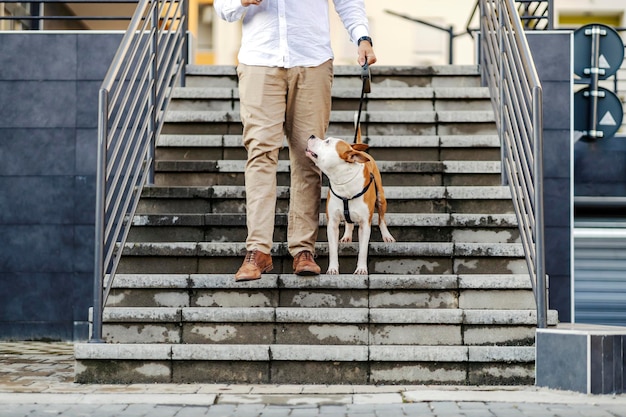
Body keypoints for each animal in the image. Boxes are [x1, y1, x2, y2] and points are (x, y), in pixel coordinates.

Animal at [304, 128, 394, 274]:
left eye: (327, 142)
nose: (311, 135)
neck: (343, 180)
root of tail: (358, 150)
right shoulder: (332, 224)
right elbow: (333, 250)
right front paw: (333, 269)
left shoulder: (365, 225)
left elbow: (363, 250)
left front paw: (361, 269)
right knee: (349, 222)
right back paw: (347, 236)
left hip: (381, 198)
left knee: (382, 219)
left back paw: (387, 236)